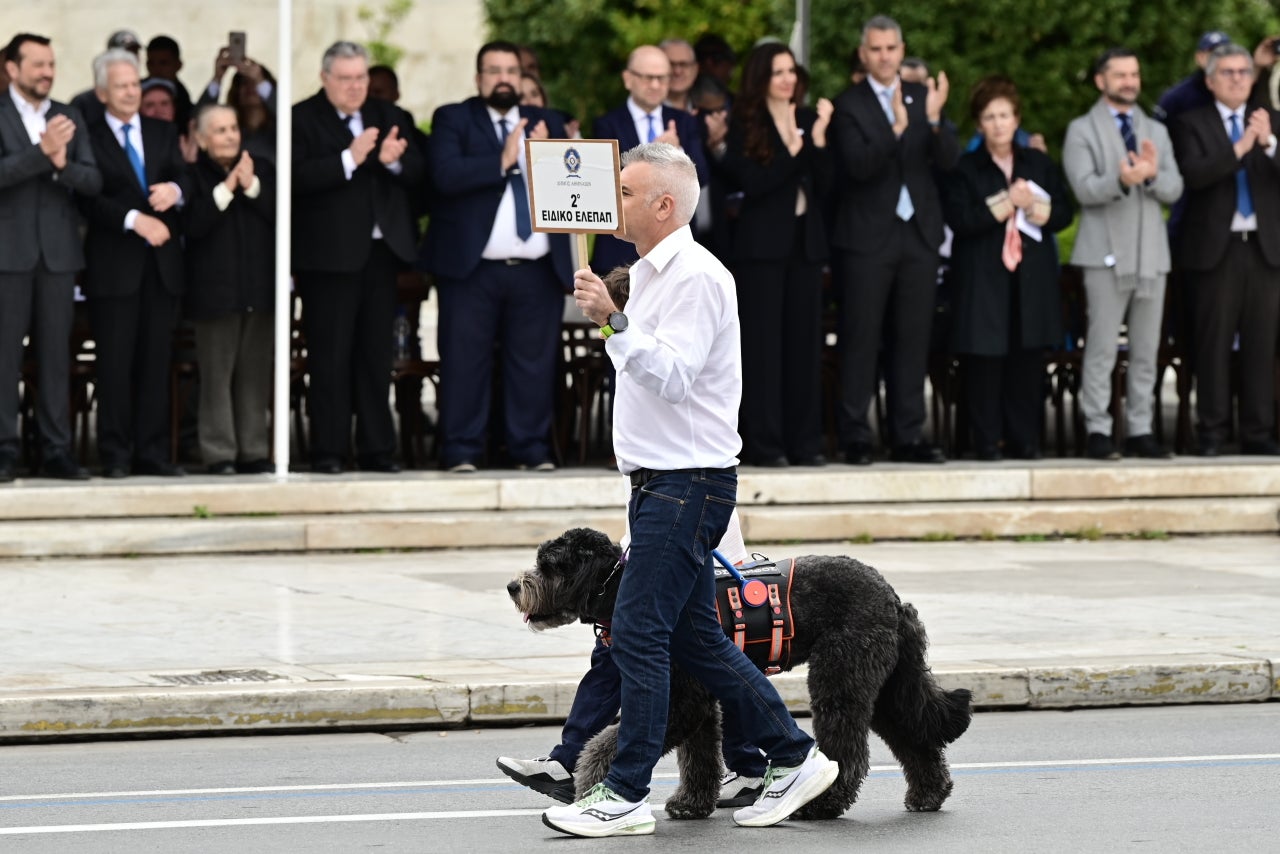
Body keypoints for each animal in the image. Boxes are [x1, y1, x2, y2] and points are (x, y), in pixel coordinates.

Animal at [506, 527, 967, 819]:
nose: (512, 586)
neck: (622, 588)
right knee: (913, 736)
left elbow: (608, 741)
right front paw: (691, 804)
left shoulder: (682, 700)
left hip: (841, 679)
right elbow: (699, 757)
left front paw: (594, 784)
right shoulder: (699, 701)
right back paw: (929, 794)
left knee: (847, 752)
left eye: (551, 565)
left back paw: (822, 804)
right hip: (885, 686)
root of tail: (892, 596)